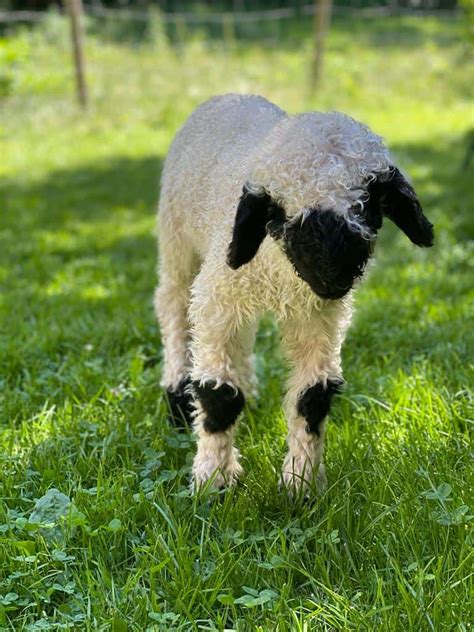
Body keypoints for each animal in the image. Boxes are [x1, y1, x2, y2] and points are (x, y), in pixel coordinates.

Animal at [155, 94, 434, 496]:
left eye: (367, 204)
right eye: (283, 213)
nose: (335, 278)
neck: (281, 274)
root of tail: (231, 94)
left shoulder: (316, 315)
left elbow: (312, 397)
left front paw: (301, 485)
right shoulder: (217, 297)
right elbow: (219, 395)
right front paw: (214, 481)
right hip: (177, 238)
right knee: (173, 305)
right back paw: (178, 397)